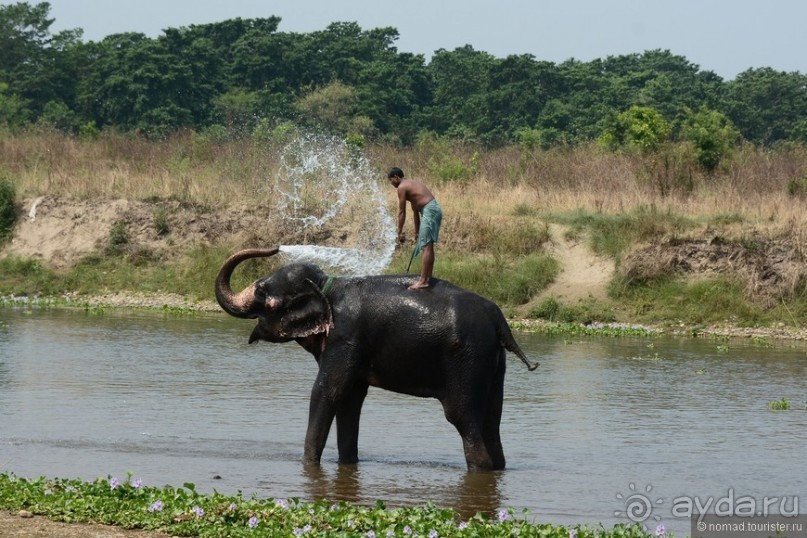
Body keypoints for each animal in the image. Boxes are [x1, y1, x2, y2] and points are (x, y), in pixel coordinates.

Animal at [215, 247, 536, 468]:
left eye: (262, 293)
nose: (274, 247)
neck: (329, 286)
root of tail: (498, 319)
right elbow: (350, 399)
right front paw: (346, 465)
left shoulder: (345, 337)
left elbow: (328, 391)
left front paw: (307, 465)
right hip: (493, 364)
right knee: (492, 420)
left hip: (467, 360)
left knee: (463, 418)